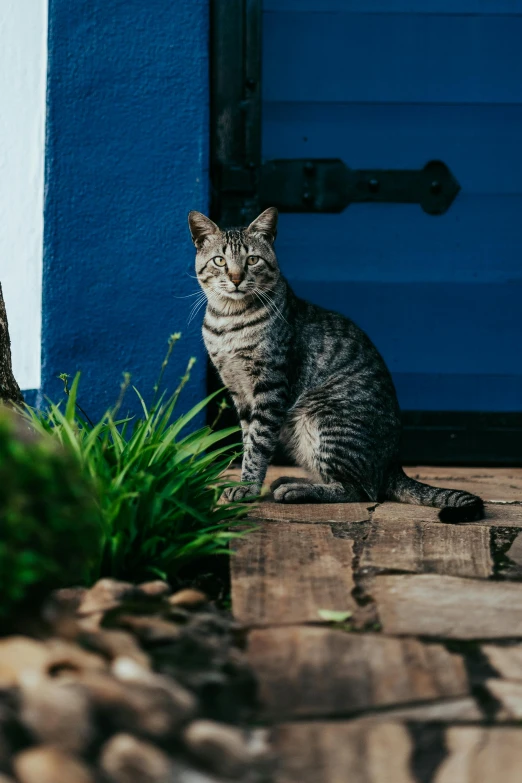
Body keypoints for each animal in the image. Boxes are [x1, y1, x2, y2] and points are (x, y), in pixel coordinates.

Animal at [187, 205, 484, 524]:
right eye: (220, 260)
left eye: (252, 259)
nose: (236, 278)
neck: (228, 320)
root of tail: (393, 464)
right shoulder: (239, 392)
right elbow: (247, 439)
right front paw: (245, 481)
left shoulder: (270, 388)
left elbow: (257, 444)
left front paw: (248, 488)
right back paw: (291, 481)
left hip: (324, 417)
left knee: (360, 490)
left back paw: (296, 490)